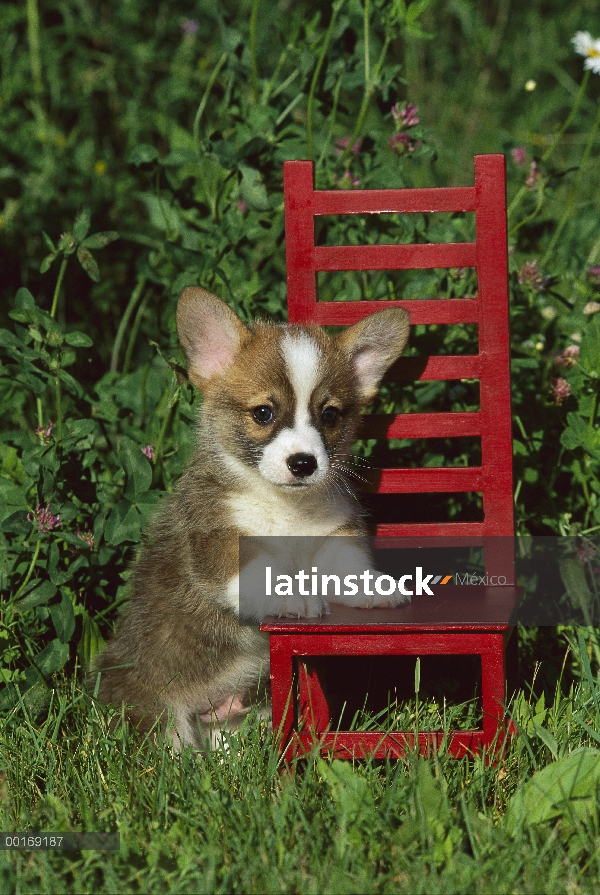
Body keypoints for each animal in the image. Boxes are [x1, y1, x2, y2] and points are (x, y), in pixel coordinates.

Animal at [95, 288, 412, 748]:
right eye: (263, 413)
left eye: (330, 415)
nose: (304, 463)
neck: (285, 507)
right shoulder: (220, 539)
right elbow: (263, 569)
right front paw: (293, 598)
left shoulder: (334, 533)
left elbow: (348, 565)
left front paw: (373, 588)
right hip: (159, 716)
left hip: (247, 715)